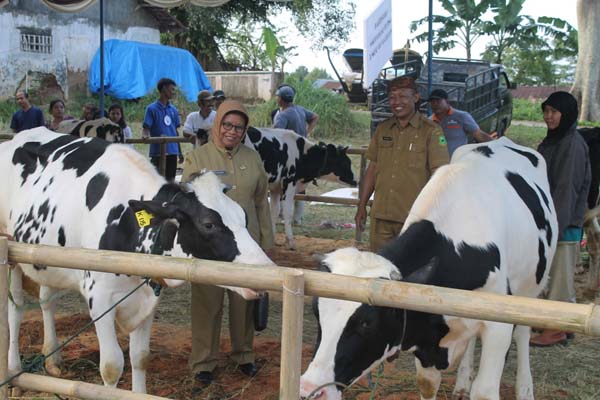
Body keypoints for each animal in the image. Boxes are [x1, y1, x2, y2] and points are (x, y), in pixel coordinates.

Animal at [0, 129, 272, 394]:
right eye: (208, 224)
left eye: (244, 215)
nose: (265, 271)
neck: (127, 222)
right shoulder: (99, 299)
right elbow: (111, 367)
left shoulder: (149, 296)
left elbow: (140, 357)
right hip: (11, 255)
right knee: (16, 307)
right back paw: (14, 369)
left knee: (47, 299)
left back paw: (52, 360)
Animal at [300, 136, 556, 398]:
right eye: (316, 312)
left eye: (366, 323)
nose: (310, 389)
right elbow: (427, 382)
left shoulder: (498, 327)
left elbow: (484, 390)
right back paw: (462, 382)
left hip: (532, 287)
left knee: (523, 333)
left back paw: (525, 388)